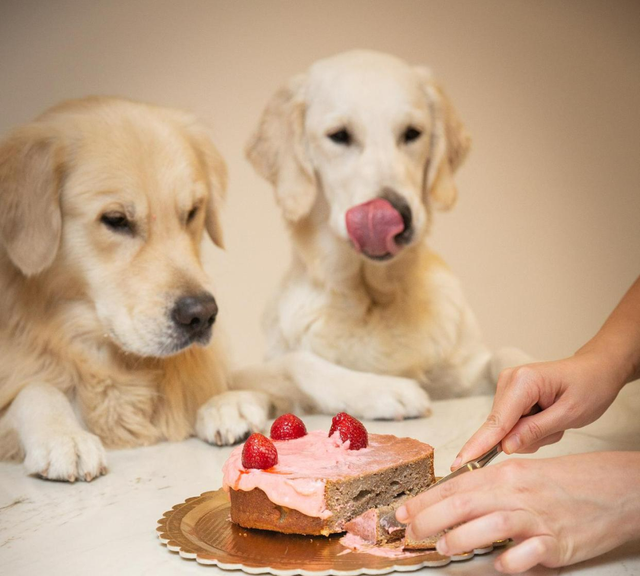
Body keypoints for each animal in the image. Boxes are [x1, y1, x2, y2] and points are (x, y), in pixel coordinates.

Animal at [0, 98, 268, 482]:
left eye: (192, 212)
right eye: (116, 220)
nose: (202, 315)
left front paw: (224, 401)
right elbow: (35, 388)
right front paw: (63, 435)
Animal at [239, 49, 528, 418]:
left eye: (412, 133)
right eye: (339, 135)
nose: (397, 216)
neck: (373, 300)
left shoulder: (467, 375)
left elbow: (510, 356)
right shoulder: (280, 367)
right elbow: (295, 363)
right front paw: (383, 389)